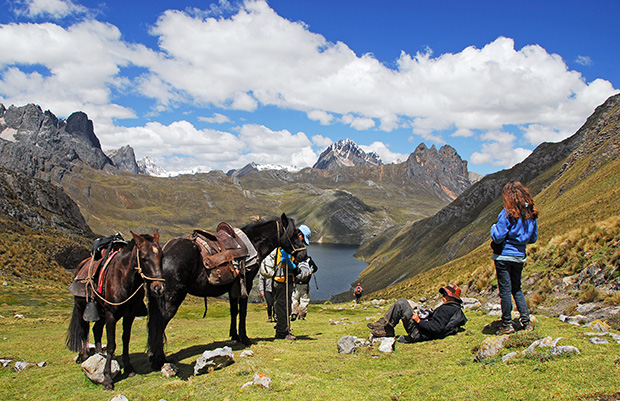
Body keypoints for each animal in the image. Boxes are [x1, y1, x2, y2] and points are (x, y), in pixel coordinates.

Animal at [66, 230, 165, 390]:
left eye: (161, 256)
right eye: (144, 258)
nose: (159, 288)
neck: (124, 278)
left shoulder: (129, 315)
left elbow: (126, 340)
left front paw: (129, 368)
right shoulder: (111, 315)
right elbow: (112, 345)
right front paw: (107, 379)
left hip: (101, 312)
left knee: (96, 329)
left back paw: (100, 354)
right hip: (83, 308)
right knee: (83, 330)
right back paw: (85, 356)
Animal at [148, 212, 308, 368]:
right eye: (294, 234)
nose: (304, 255)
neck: (253, 243)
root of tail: (163, 252)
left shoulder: (233, 288)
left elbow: (233, 311)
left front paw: (234, 335)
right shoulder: (246, 284)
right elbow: (242, 311)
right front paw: (245, 338)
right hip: (172, 297)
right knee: (160, 323)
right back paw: (159, 360)